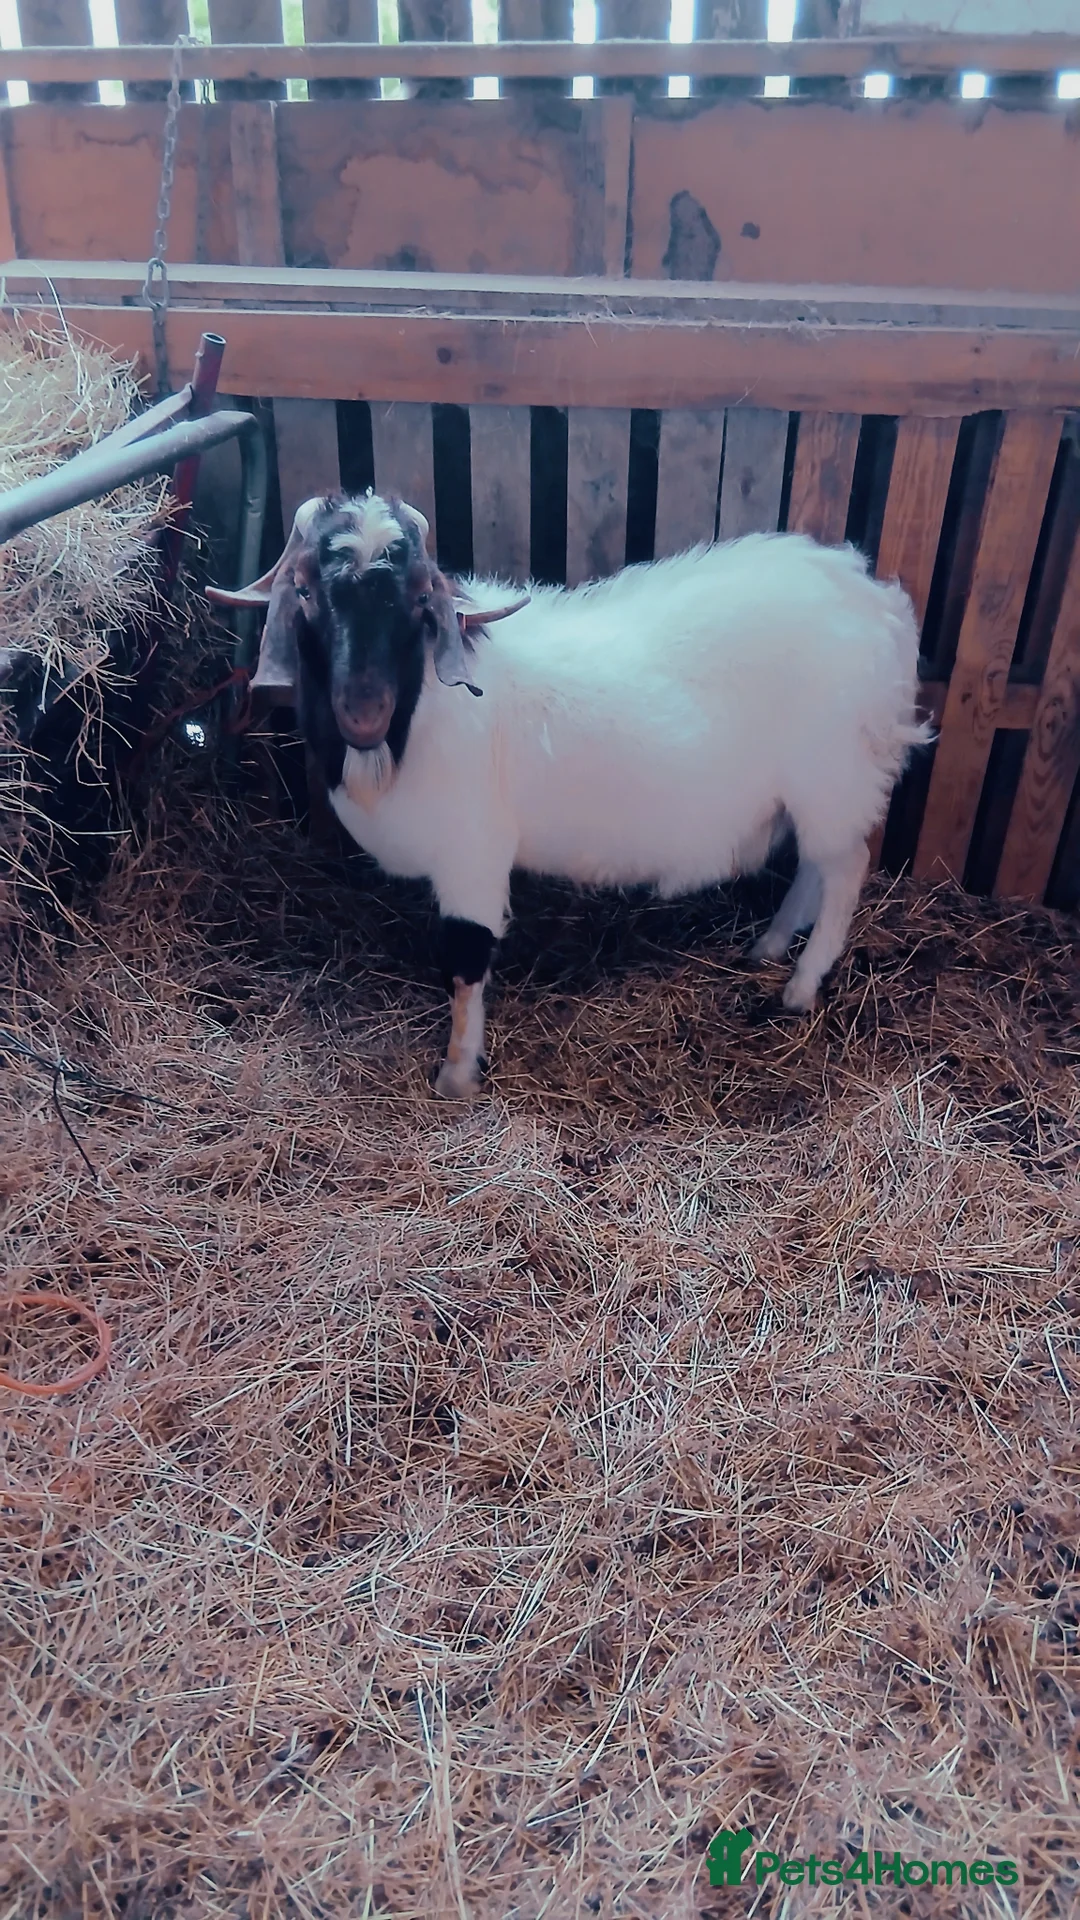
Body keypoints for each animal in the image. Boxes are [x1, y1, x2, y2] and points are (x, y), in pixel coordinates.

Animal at [208, 491, 930, 1099]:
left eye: (417, 600)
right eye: (306, 590)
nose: (363, 712)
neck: (418, 716)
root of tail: (878, 606)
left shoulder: (472, 854)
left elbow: (466, 961)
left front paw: (457, 1075)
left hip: (833, 778)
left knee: (843, 870)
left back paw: (799, 988)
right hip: (815, 792)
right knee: (814, 868)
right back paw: (771, 947)